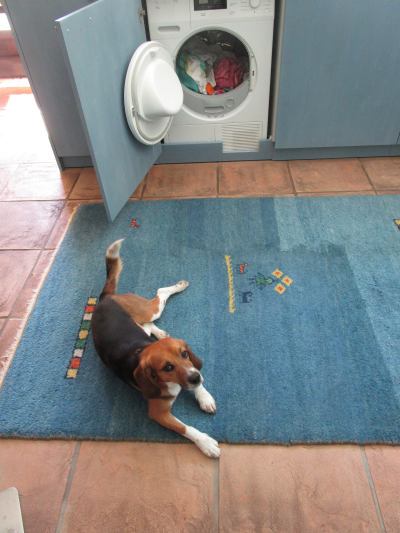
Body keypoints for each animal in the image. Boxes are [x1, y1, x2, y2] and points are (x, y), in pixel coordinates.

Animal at [91, 239, 220, 458]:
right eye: (167, 367)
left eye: (184, 354)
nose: (195, 378)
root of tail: (104, 298)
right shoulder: (159, 414)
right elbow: (186, 429)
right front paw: (205, 443)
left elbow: (197, 378)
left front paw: (204, 397)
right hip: (150, 311)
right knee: (159, 294)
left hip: (148, 313)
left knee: (155, 308)